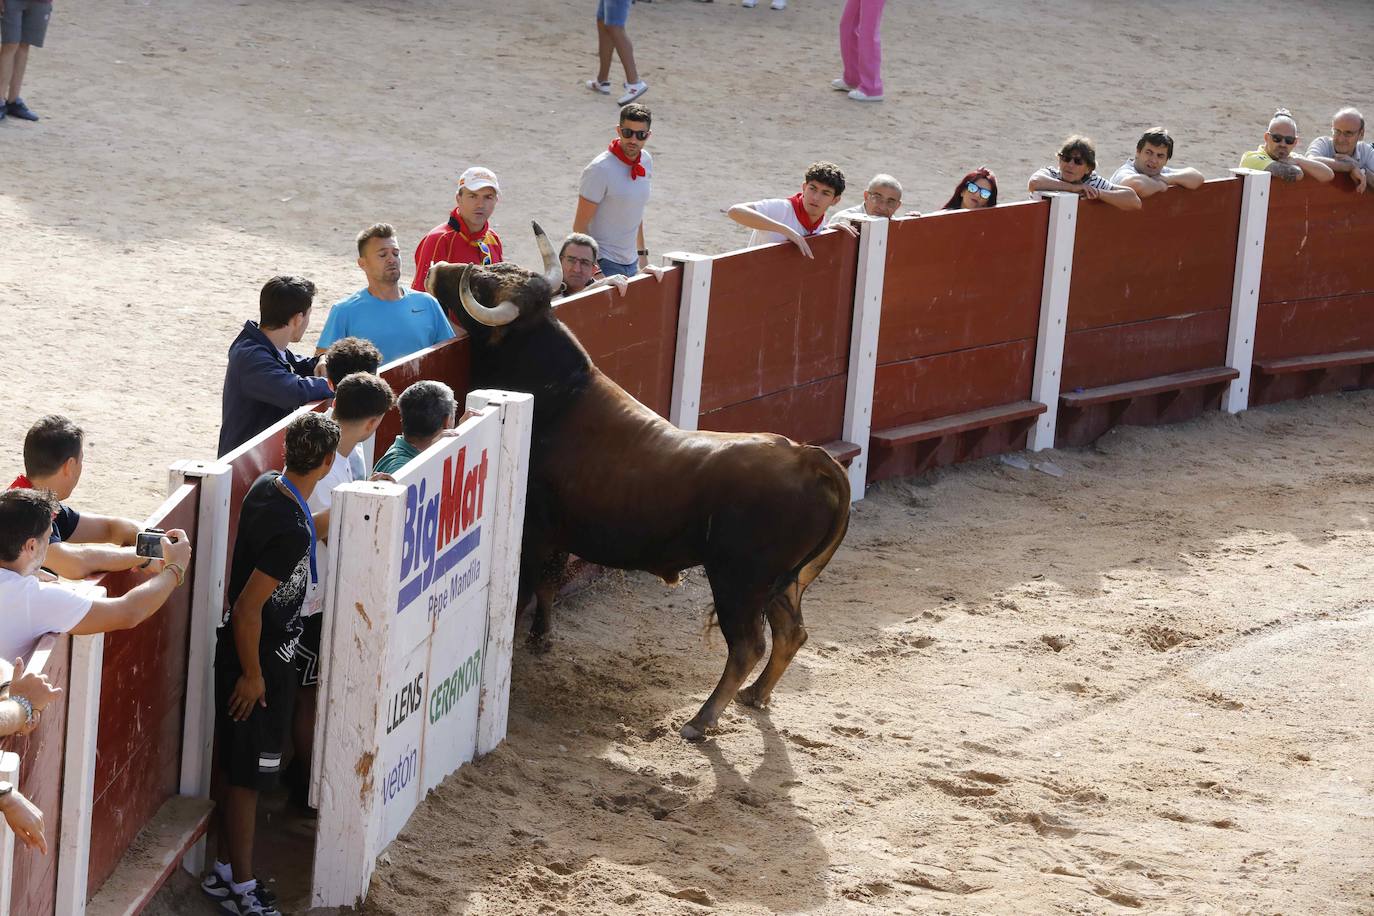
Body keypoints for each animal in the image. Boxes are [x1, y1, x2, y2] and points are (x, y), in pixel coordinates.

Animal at [423, 225, 846, 741]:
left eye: (481, 288)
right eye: (490, 271)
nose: (440, 269)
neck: (557, 394)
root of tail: (806, 456)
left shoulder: (533, 530)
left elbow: (524, 590)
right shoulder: (559, 533)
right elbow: (550, 583)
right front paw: (542, 638)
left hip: (740, 581)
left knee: (748, 646)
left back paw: (701, 721)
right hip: (781, 582)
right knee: (791, 634)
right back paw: (754, 696)